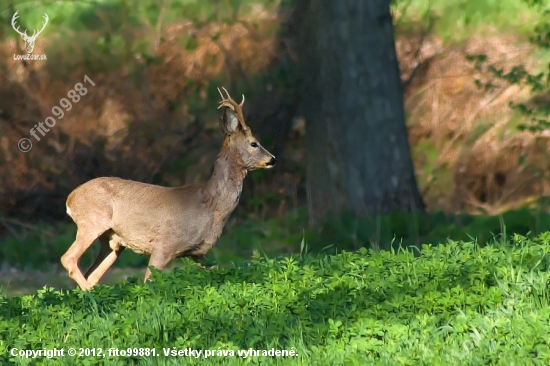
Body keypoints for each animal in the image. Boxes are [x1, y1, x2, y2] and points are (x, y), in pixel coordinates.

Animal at [61, 87, 276, 290]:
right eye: (254, 143)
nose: (273, 159)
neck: (210, 205)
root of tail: (70, 199)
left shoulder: (197, 253)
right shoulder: (164, 244)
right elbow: (149, 282)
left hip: (113, 241)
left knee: (92, 275)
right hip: (91, 222)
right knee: (68, 259)